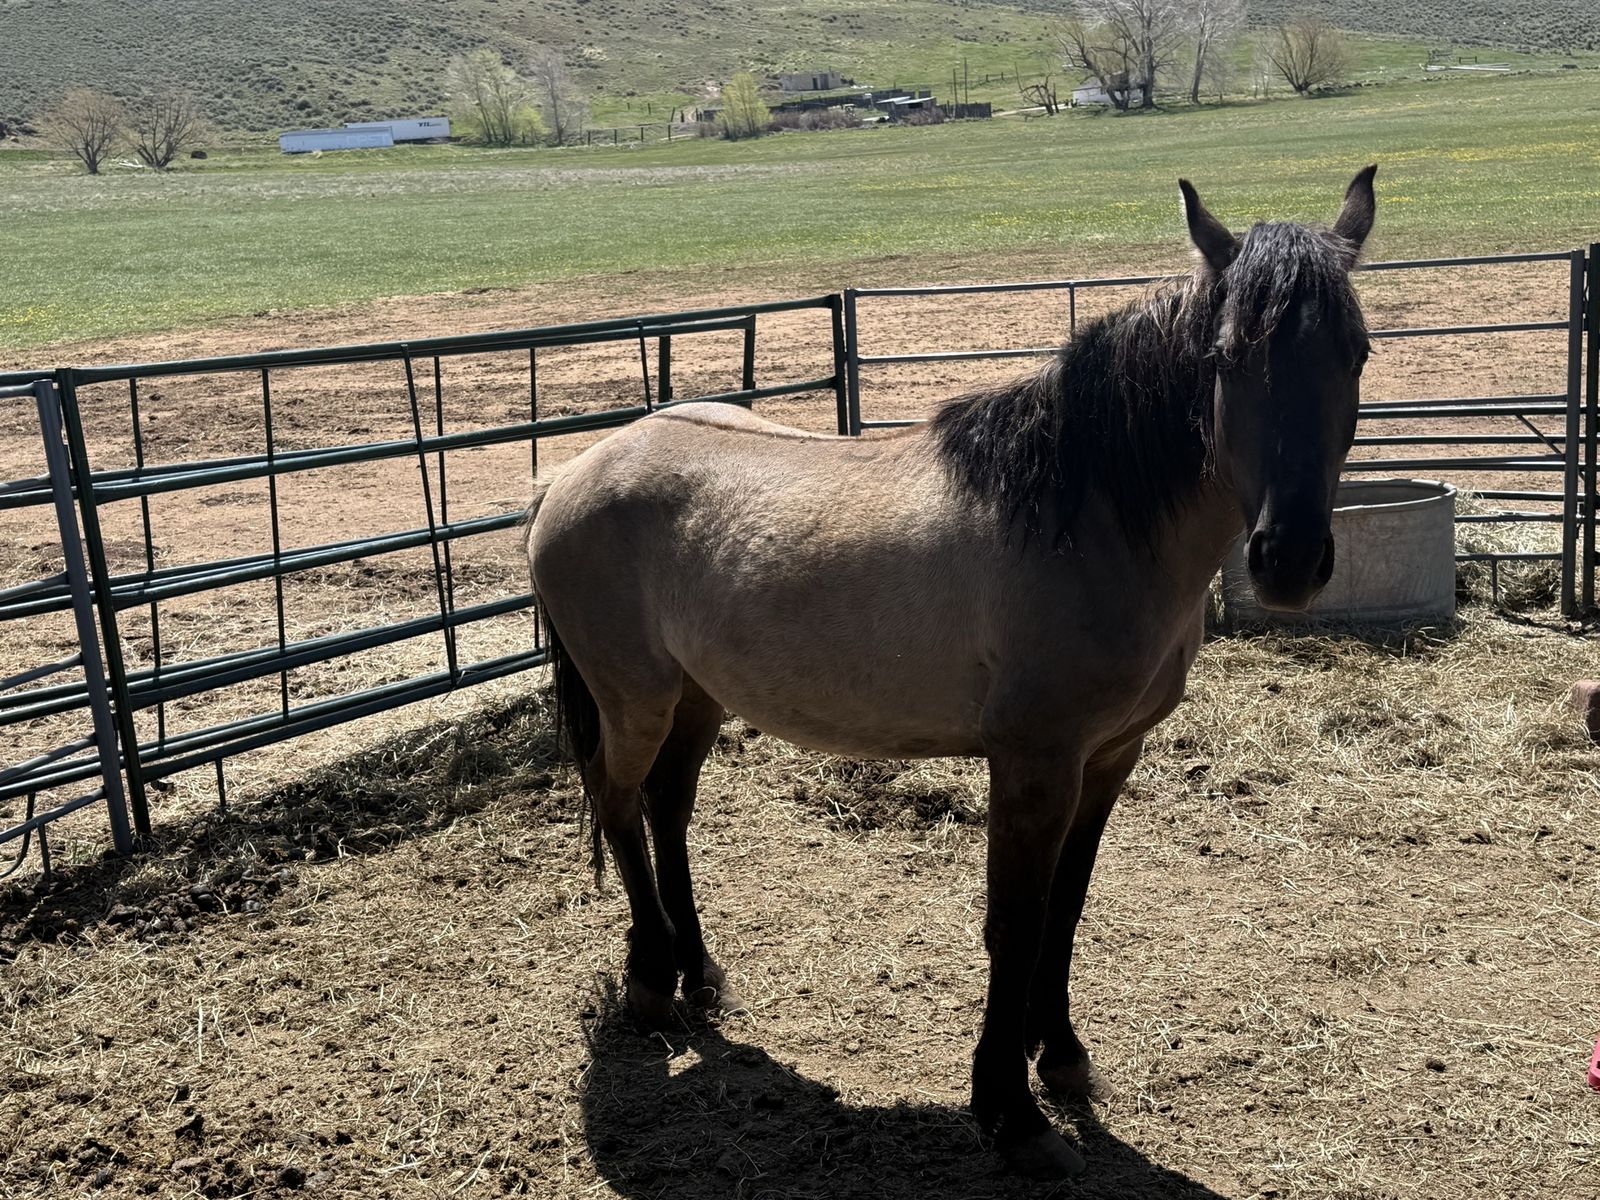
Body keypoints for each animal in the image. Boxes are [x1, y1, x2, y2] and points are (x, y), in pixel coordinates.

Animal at [524, 166, 1377, 1179]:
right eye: (1227, 356)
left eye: (1358, 353)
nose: (1288, 561)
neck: (1083, 517)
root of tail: (575, 473)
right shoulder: (1033, 764)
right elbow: (1015, 921)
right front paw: (1011, 1113)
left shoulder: (1108, 760)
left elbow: (1066, 908)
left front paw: (1063, 1057)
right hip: (637, 698)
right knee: (618, 803)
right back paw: (653, 984)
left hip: (698, 697)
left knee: (666, 808)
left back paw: (700, 975)